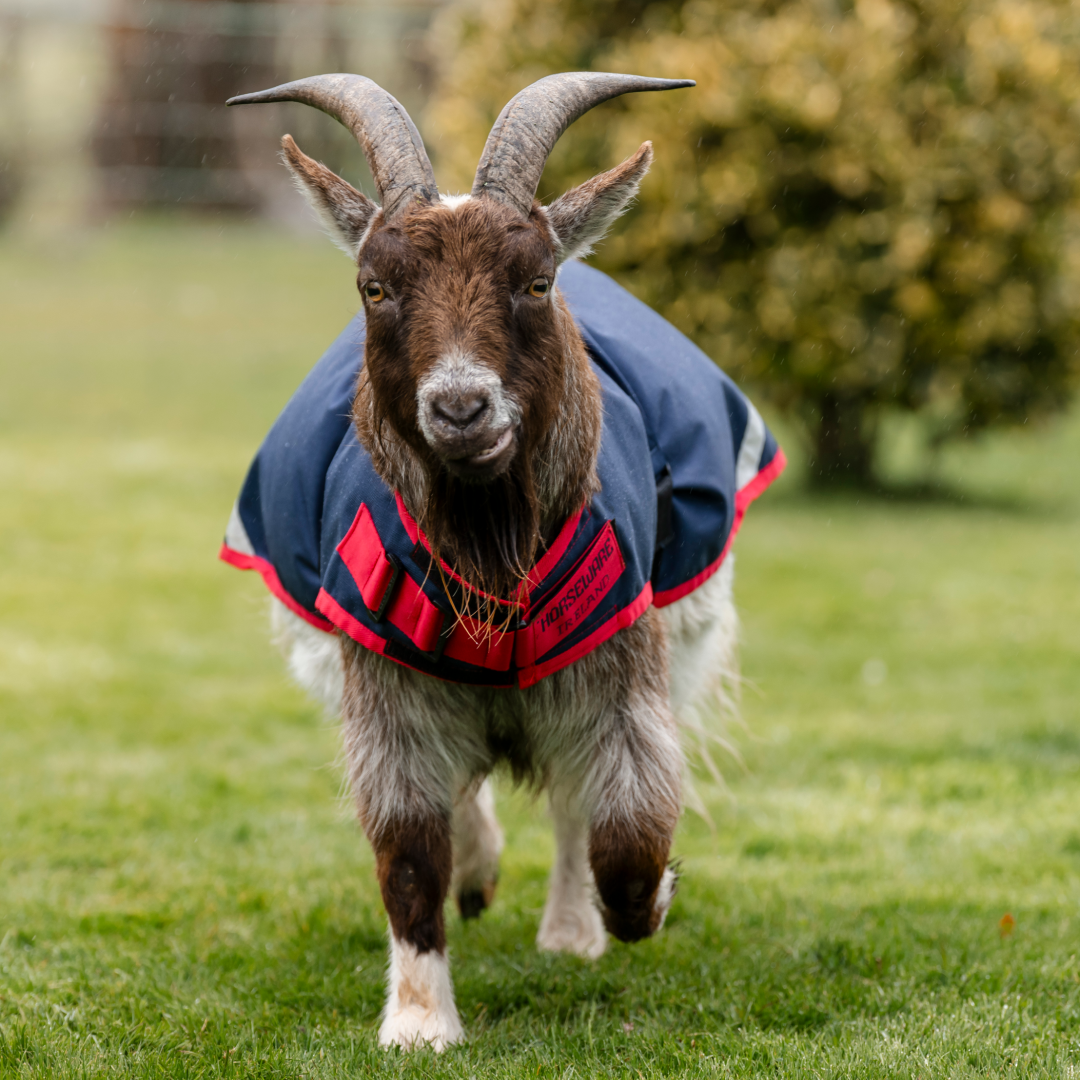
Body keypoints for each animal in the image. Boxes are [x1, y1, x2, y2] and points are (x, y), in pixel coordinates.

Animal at [221, 72, 785, 1051]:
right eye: (374, 286)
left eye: (536, 280)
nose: (460, 407)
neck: (488, 552)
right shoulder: (382, 677)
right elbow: (409, 845)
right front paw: (420, 1023)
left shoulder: (620, 662)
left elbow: (625, 835)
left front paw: (648, 901)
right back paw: (481, 877)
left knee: (571, 800)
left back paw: (569, 929)